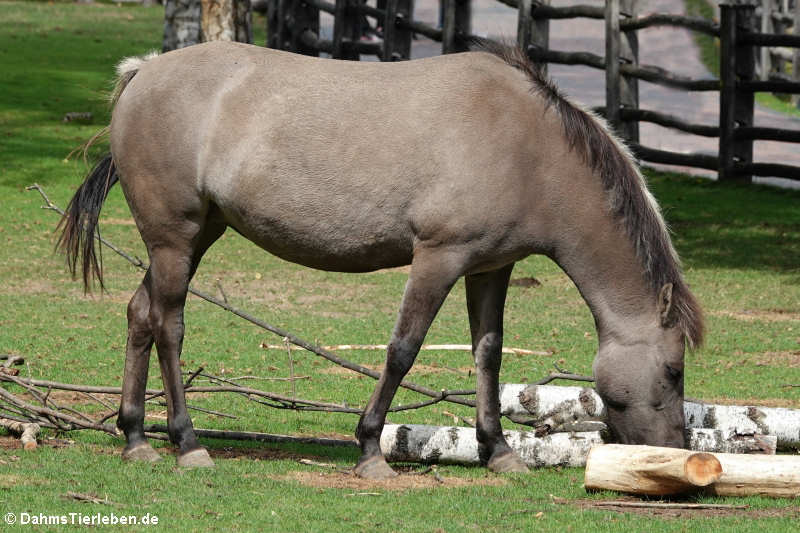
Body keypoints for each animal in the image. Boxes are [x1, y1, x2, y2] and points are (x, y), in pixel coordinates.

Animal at [59, 39, 704, 476]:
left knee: (140, 316)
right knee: (168, 324)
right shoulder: (438, 258)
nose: (675, 451)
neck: (529, 146)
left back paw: (136, 438)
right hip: (176, 239)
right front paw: (371, 448)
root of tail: (143, 71)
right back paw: (188, 443)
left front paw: (498, 452)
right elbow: (403, 349)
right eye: (673, 371)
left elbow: (488, 355)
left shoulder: (491, 267)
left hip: (193, 239)